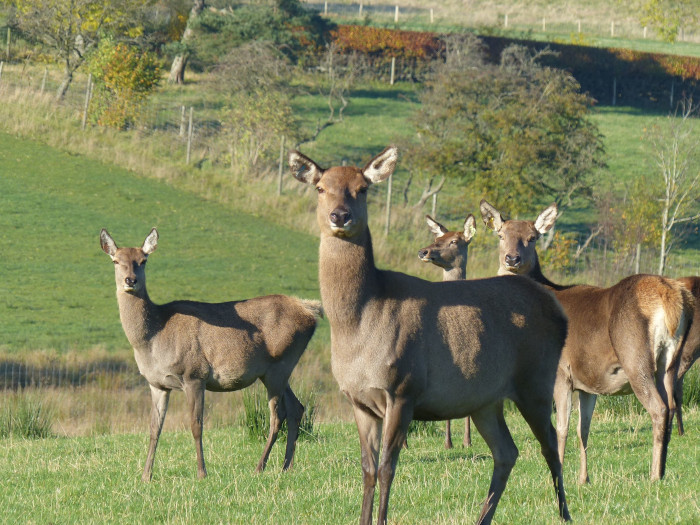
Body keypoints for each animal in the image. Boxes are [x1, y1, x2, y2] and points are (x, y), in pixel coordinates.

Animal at [99, 227, 322, 482]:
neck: (153, 338)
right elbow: (154, 429)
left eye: (143, 260)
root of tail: (311, 311)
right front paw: (146, 475)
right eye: (116, 260)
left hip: (280, 364)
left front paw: (202, 472)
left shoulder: (194, 374)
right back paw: (287, 466)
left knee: (278, 415)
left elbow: (196, 425)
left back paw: (260, 466)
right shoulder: (157, 384)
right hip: (276, 371)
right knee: (297, 407)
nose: (130, 280)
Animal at [478, 200, 692, 484]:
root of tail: (672, 298)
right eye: (501, 235)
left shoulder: (560, 373)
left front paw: (558, 475)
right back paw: (663, 471)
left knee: (659, 409)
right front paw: (583, 479)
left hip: (636, 358)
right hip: (671, 362)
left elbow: (561, 428)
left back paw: (654, 476)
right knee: (671, 405)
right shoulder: (588, 383)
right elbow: (584, 430)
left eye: (533, 237)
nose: (512, 259)